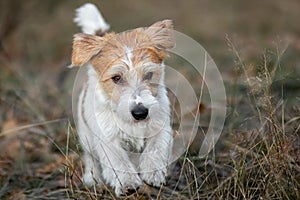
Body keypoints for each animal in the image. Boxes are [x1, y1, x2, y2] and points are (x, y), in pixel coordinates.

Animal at [72, 3, 175, 196]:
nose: (140, 113)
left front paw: (153, 172)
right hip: (86, 135)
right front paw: (127, 182)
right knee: (90, 157)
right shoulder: (107, 137)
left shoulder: (160, 125)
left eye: (149, 75)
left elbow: (156, 147)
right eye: (116, 78)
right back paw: (92, 178)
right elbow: (118, 161)